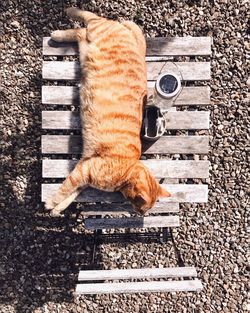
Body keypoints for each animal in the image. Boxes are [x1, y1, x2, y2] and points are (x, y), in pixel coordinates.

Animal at [45, 7, 171, 217]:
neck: (127, 169)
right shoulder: (84, 171)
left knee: (81, 32)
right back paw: (67, 17)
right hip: (98, 30)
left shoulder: (84, 171)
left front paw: (58, 208)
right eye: (143, 207)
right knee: (91, 18)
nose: (141, 214)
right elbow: (66, 188)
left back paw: (60, 33)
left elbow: (72, 194)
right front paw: (51, 202)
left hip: (86, 49)